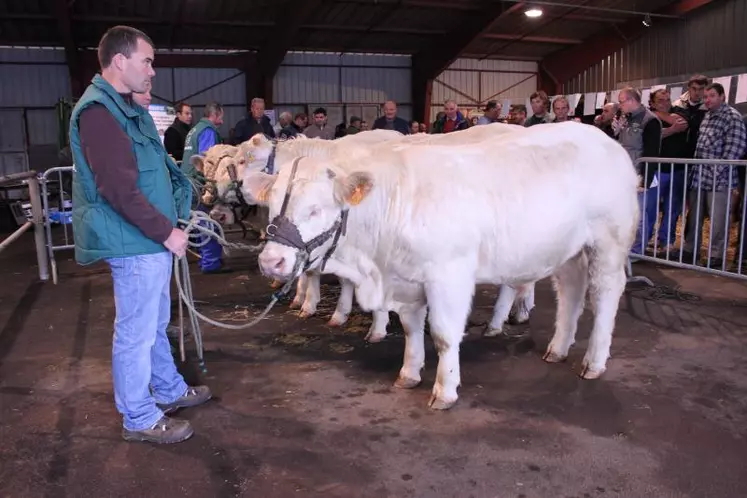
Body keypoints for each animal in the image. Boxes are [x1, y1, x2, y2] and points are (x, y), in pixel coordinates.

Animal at [244, 122, 636, 410]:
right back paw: (557, 348)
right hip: (568, 249)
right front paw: (409, 373)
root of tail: (604, 139)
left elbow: (445, 335)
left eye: (316, 209)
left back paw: (593, 361)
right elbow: (412, 328)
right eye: (273, 204)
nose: (271, 261)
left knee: (605, 294)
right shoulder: (406, 278)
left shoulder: (449, 275)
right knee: (570, 291)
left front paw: (445, 390)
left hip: (608, 242)